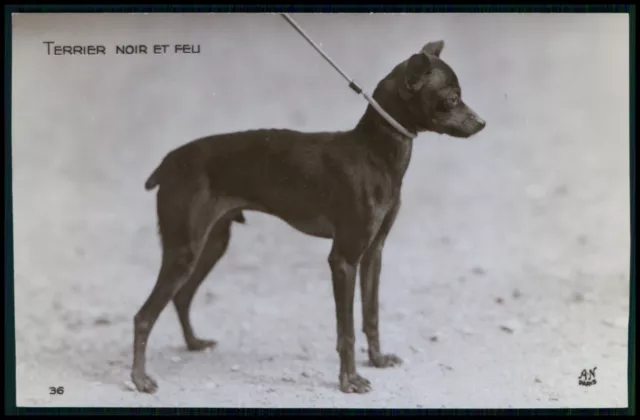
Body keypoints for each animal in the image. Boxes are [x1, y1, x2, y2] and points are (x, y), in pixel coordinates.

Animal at [132, 39, 488, 394]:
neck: (373, 153)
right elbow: (346, 331)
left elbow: (370, 315)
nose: (483, 123)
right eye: (451, 98)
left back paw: (193, 343)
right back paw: (139, 379)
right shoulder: (343, 260)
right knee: (144, 315)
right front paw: (349, 380)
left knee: (182, 296)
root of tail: (169, 162)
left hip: (212, 244)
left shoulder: (373, 253)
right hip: (184, 251)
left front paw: (377, 359)